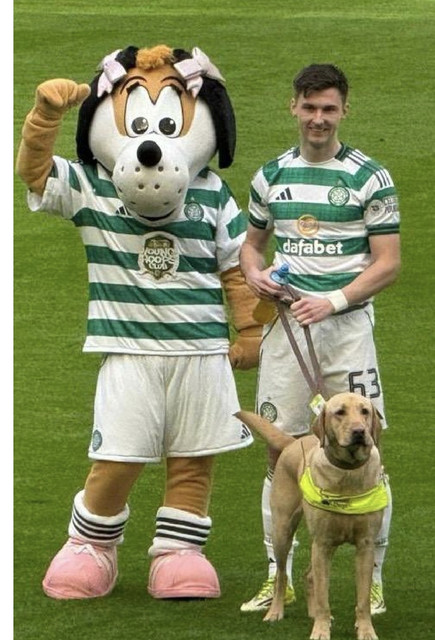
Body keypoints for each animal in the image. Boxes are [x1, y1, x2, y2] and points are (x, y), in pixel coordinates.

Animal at [236, 392, 388, 640]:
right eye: (340, 412)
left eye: (365, 411)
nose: (359, 431)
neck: (347, 471)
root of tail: (292, 442)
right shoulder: (322, 543)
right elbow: (323, 596)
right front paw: (320, 630)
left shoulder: (364, 544)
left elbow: (362, 598)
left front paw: (366, 630)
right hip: (283, 530)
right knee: (281, 575)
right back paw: (275, 611)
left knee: (309, 575)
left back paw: (312, 612)